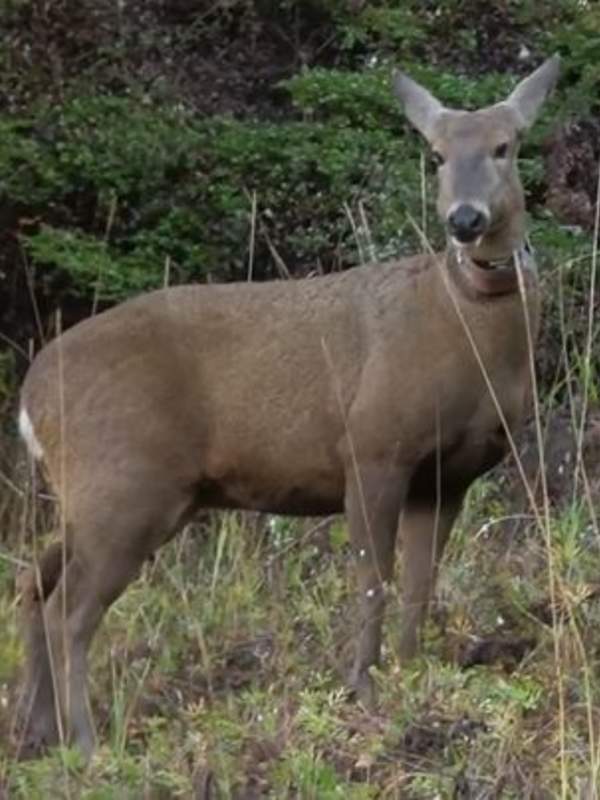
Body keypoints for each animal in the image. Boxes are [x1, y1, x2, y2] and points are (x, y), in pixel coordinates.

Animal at [16, 56, 560, 756]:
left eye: (505, 146)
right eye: (436, 154)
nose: (464, 220)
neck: (464, 329)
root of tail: (30, 397)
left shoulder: (449, 474)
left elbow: (420, 583)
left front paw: (411, 671)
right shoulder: (373, 445)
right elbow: (372, 579)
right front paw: (362, 686)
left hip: (94, 497)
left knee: (34, 586)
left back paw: (36, 730)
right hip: (126, 484)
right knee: (69, 610)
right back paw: (86, 742)